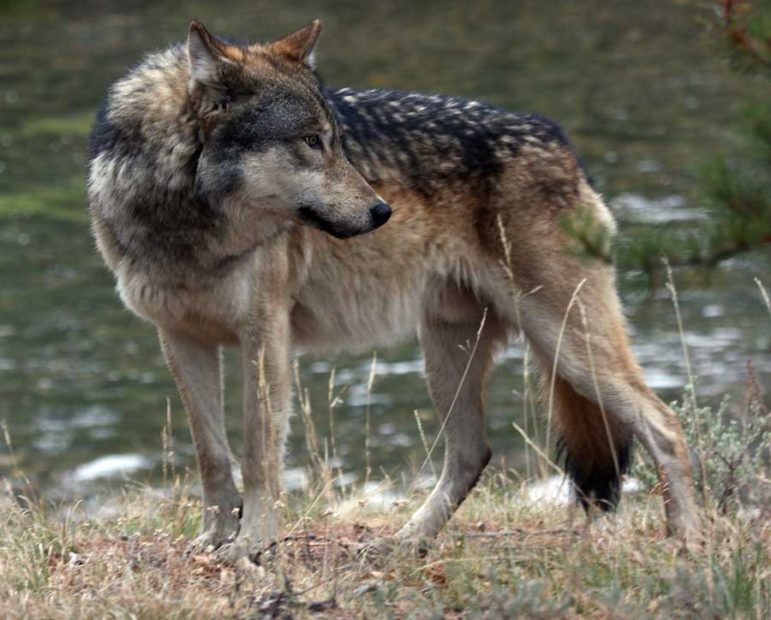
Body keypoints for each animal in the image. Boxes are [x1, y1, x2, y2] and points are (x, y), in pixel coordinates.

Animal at [87, 21, 704, 560]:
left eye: (336, 142)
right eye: (311, 142)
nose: (383, 211)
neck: (186, 223)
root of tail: (563, 144)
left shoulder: (266, 335)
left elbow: (259, 451)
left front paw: (252, 545)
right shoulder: (179, 337)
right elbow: (211, 454)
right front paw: (214, 540)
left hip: (565, 343)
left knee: (665, 424)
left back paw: (690, 540)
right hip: (452, 353)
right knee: (472, 453)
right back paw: (407, 541)